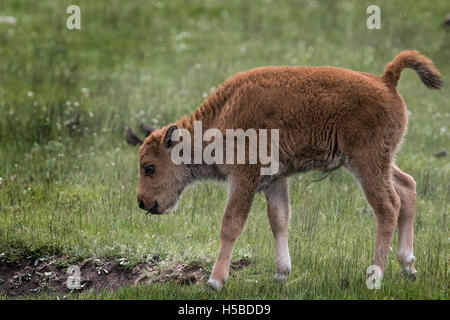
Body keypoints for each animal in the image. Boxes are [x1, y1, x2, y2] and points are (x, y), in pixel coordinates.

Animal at [135, 50, 442, 290]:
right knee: (408, 187)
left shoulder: (244, 177)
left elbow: (231, 224)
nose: (142, 202)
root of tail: (385, 80)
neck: (223, 115)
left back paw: (374, 276)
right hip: (383, 162)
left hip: (367, 164)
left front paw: (215, 281)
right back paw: (409, 268)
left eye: (150, 167)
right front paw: (281, 275)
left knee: (388, 207)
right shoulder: (275, 180)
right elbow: (279, 220)